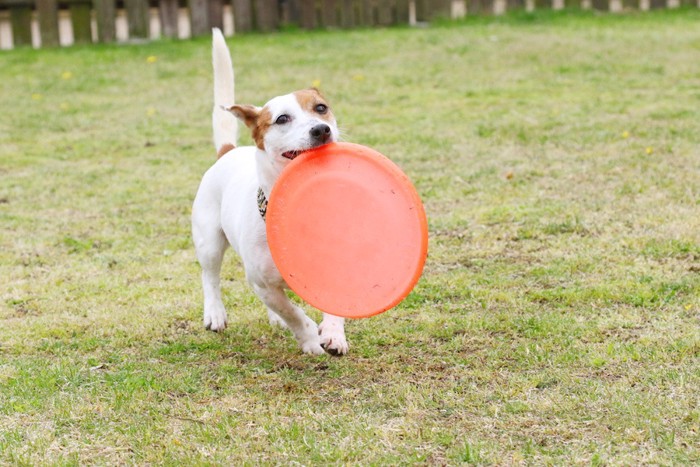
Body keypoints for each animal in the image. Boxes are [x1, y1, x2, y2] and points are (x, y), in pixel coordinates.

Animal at [191, 29, 348, 356]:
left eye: (321, 108)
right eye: (282, 119)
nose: (321, 129)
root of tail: (229, 151)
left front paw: (333, 334)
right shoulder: (261, 282)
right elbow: (294, 313)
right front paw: (311, 340)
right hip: (208, 239)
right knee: (210, 276)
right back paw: (215, 314)